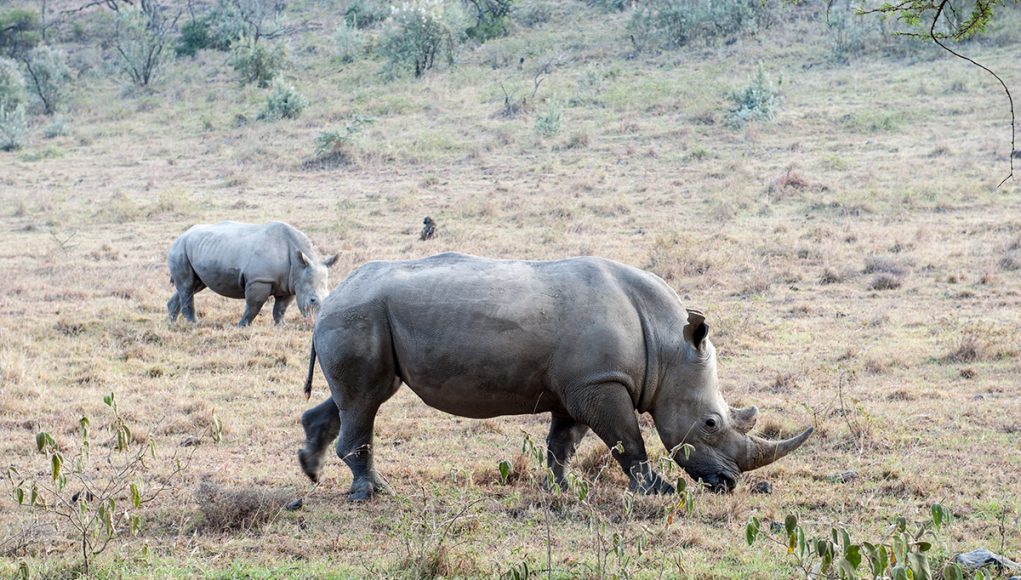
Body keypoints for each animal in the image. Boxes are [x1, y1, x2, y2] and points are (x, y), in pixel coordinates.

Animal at [167, 220, 338, 324]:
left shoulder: (291, 283)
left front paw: (281, 326)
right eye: (312, 300)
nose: (319, 322)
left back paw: (172, 322)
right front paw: (241, 326)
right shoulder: (260, 279)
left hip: (198, 248)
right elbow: (254, 305)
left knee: (194, 285)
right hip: (180, 249)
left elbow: (281, 308)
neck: (300, 265)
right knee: (187, 285)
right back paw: (193, 324)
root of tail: (181, 235)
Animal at [298, 253, 812, 498]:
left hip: (359, 317)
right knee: (365, 400)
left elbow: (563, 444)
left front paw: (563, 488)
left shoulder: (582, 385)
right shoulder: (600, 382)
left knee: (359, 397)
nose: (728, 482)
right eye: (710, 423)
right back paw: (372, 493)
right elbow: (629, 442)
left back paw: (311, 469)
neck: (667, 346)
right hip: (359, 315)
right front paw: (659, 491)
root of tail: (334, 295)